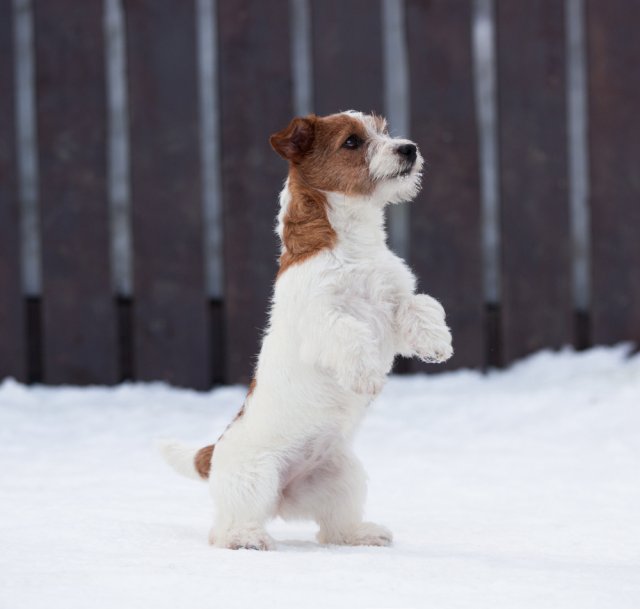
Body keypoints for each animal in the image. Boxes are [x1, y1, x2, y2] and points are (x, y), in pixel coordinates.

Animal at [160, 110, 452, 552]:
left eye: (383, 131)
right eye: (352, 142)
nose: (409, 148)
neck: (353, 243)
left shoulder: (394, 303)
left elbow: (424, 306)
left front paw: (436, 344)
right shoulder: (322, 319)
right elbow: (351, 335)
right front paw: (367, 376)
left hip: (343, 477)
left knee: (333, 527)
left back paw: (361, 533)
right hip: (255, 478)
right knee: (224, 528)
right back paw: (247, 538)